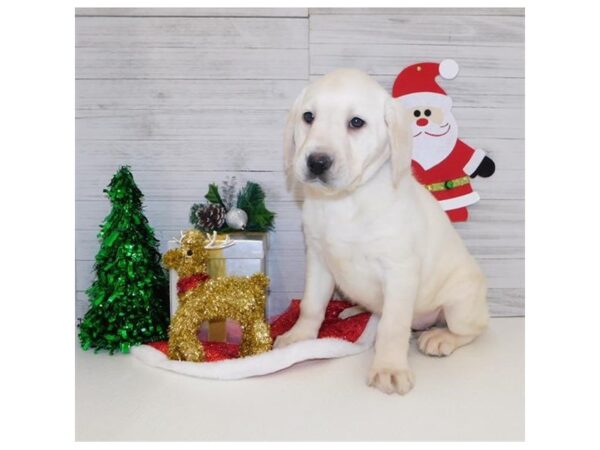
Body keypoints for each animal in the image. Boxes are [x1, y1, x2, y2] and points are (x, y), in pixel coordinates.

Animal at [274, 68, 490, 396]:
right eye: (308, 117)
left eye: (356, 122)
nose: (317, 162)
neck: (346, 201)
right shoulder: (318, 259)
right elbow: (311, 305)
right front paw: (299, 337)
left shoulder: (400, 271)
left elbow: (393, 327)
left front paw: (389, 367)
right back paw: (357, 311)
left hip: (460, 306)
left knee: (471, 330)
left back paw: (441, 337)